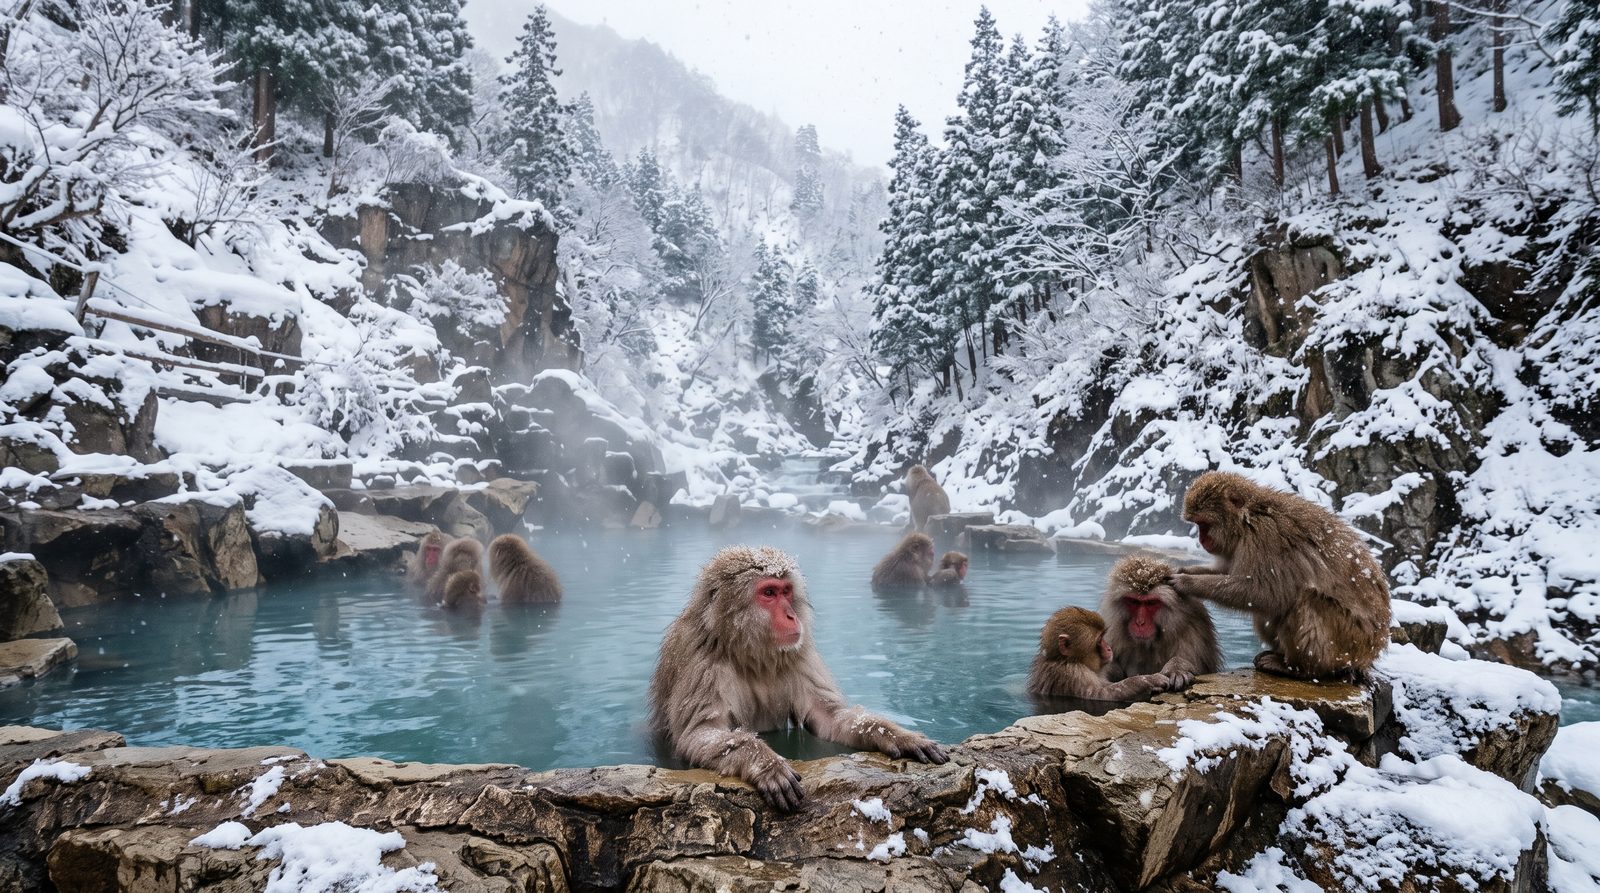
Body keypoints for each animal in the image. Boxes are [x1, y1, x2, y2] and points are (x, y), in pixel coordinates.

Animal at [649, 546, 948, 810]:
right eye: (769, 593)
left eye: (786, 591)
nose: (792, 615)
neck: (747, 654)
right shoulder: (701, 665)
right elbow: (699, 734)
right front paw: (765, 763)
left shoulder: (799, 657)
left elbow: (830, 717)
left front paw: (898, 736)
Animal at [1027, 606, 1173, 700]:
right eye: (1099, 640)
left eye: (1103, 636)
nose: (1109, 648)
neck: (1065, 660)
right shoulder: (1073, 674)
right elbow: (1102, 694)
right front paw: (1148, 680)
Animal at [1169, 471, 1391, 681]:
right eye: (1198, 524)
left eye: (1203, 524)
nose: (1201, 539)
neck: (1247, 519)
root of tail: (1371, 653)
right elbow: (1230, 573)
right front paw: (1182, 571)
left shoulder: (1265, 537)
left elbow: (1265, 592)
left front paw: (1187, 582)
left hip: (1349, 641)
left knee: (1305, 599)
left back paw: (1299, 668)